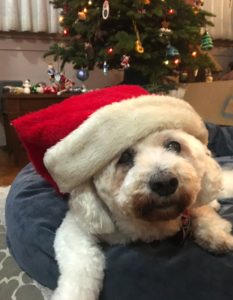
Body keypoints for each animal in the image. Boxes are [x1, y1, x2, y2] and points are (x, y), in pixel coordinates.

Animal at [43, 94, 233, 300]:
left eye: (174, 146)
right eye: (125, 156)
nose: (165, 182)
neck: (151, 223)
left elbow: (202, 212)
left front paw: (216, 234)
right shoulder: (75, 228)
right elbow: (81, 266)